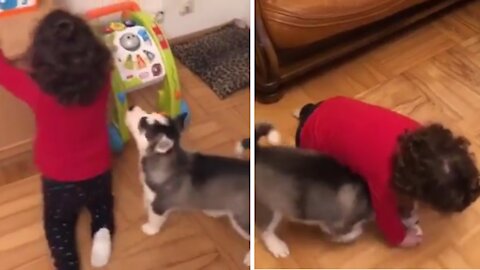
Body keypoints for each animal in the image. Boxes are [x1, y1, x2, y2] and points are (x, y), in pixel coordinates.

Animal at [124, 106, 251, 266]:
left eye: (142, 121)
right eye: (150, 113)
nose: (131, 107)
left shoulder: (160, 204)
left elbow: (154, 218)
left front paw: (150, 229)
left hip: (242, 218)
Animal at [242, 123, 374, 258]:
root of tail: (260, 153)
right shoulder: (338, 224)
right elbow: (350, 231)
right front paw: (348, 235)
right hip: (270, 208)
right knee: (266, 230)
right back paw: (276, 246)